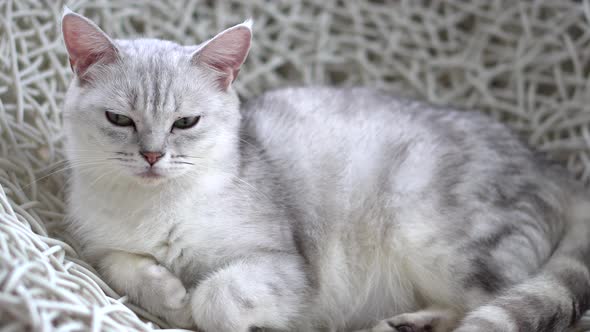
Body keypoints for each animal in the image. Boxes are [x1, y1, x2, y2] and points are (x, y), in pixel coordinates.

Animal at [61, 5, 590, 332]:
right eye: (120, 120)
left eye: (185, 122)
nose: (152, 155)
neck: (154, 207)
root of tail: (550, 166)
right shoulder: (99, 241)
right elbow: (121, 262)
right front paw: (169, 294)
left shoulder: (288, 265)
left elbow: (218, 296)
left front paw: (201, 308)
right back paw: (402, 324)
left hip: (444, 240)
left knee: (495, 302)